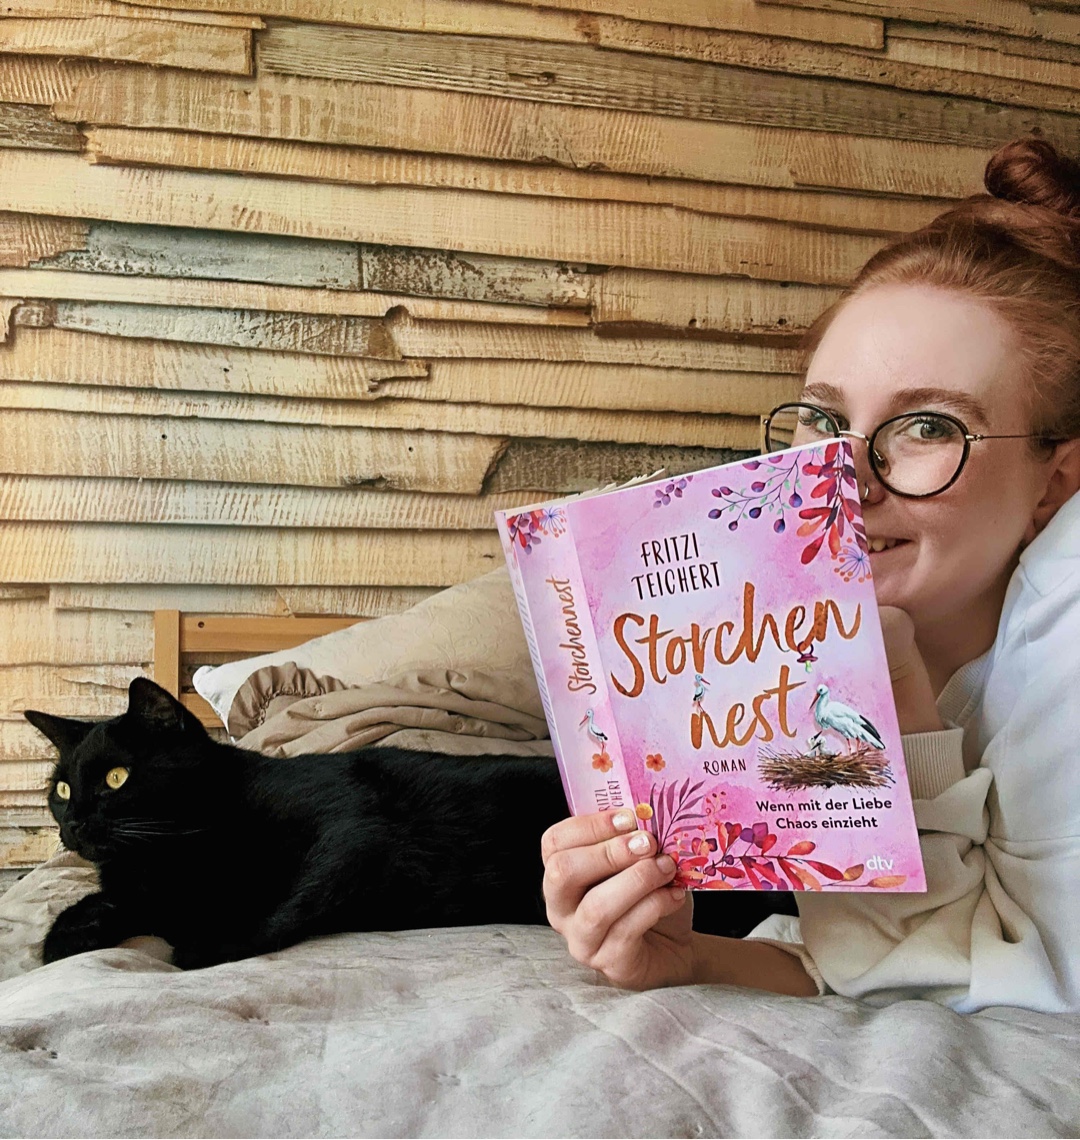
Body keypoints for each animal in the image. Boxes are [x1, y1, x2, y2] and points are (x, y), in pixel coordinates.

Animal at [25, 677, 795, 969]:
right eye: (61, 789)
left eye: (117, 778)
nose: (72, 826)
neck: (183, 843)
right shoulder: (140, 885)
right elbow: (104, 904)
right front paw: (63, 940)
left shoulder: (349, 830)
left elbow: (288, 901)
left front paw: (206, 944)